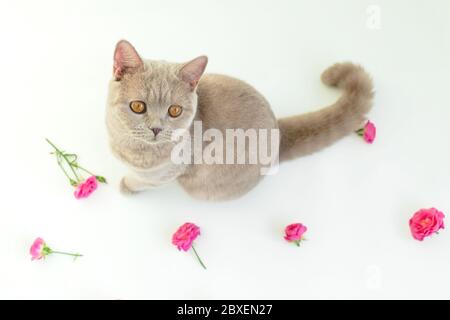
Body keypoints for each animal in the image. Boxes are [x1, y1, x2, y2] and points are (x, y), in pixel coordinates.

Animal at [105, 39, 372, 200]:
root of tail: (277, 129)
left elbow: (143, 180)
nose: (157, 129)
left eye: (175, 111)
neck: (130, 146)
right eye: (138, 106)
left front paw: (126, 186)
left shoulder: (167, 171)